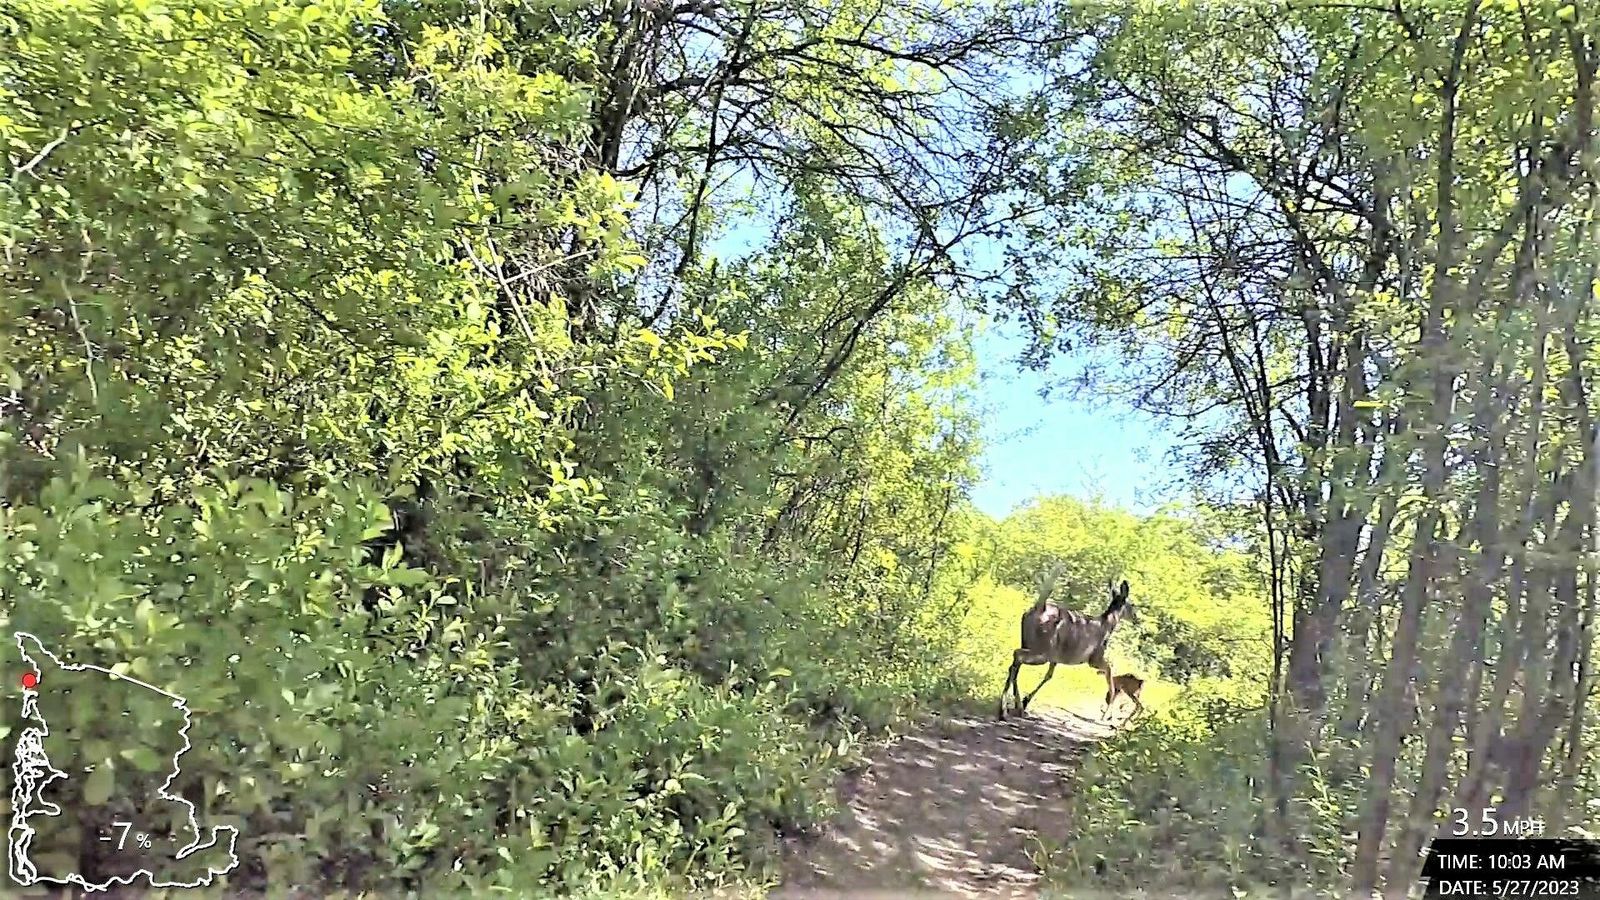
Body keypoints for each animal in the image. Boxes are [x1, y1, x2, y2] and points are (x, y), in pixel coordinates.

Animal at [997, 564, 1140, 720]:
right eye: (1131, 605)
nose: (1136, 618)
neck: (1107, 625)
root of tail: (1039, 607)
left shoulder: (1056, 659)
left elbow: (1048, 676)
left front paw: (1026, 701)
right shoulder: (1094, 658)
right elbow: (1110, 671)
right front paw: (1107, 714)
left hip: (1030, 643)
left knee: (1015, 664)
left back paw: (1015, 707)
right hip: (1043, 650)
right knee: (1017, 656)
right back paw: (1006, 710)